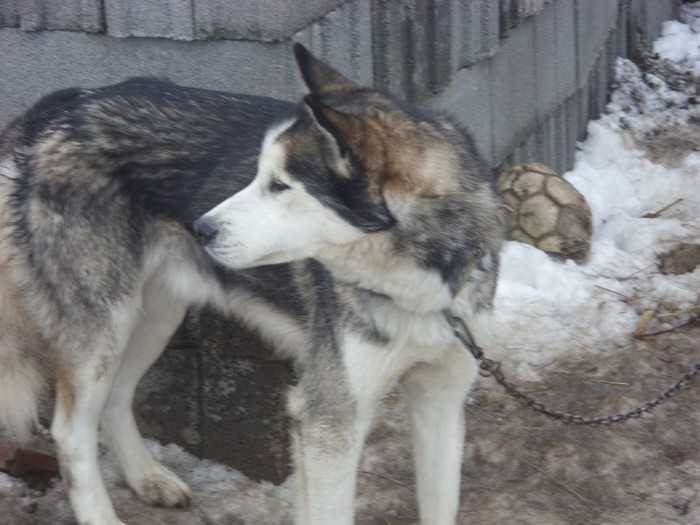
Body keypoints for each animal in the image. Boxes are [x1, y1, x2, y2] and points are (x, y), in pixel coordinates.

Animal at [0, 45, 504, 524]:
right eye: (260, 175)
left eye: (280, 185)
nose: (200, 228)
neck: (423, 288)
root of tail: (58, 107)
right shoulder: (327, 418)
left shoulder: (441, 402)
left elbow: (441, 507)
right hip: (102, 330)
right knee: (70, 433)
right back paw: (102, 515)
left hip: (153, 318)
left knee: (116, 400)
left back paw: (148, 479)